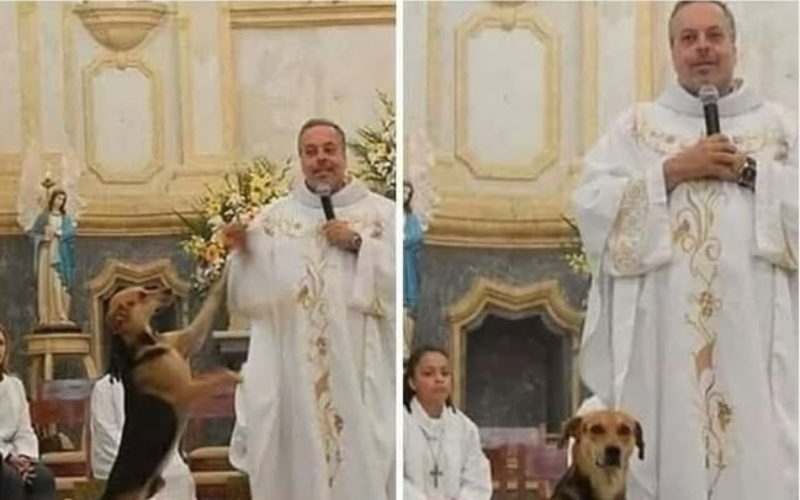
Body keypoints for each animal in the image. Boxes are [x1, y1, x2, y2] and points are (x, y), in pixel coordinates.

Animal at [99, 270, 239, 500]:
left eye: (145, 289)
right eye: (141, 296)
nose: (168, 290)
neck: (148, 345)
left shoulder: (189, 338)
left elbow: (212, 299)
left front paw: (225, 273)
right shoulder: (184, 393)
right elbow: (217, 377)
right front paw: (236, 376)